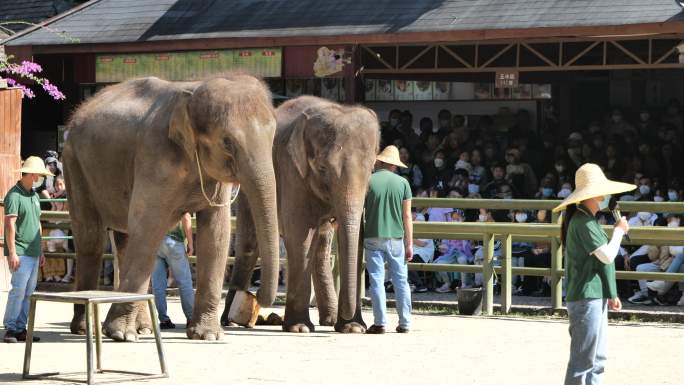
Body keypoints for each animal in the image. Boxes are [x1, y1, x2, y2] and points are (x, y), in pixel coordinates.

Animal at [62, 74, 280, 340]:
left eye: (273, 138)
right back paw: (85, 329)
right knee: (91, 239)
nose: (255, 296)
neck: (192, 93)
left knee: (124, 239)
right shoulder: (155, 158)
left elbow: (216, 234)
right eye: (227, 142)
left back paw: (142, 328)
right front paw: (120, 335)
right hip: (74, 164)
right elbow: (148, 227)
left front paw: (207, 336)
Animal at [224, 94, 382, 332]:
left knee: (322, 245)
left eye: (372, 169)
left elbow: (356, 241)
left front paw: (353, 328)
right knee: (249, 244)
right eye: (323, 169)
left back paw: (327, 320)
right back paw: (229, 321)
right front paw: (299, 328)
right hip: (246, 187)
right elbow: (300, 236)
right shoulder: (291, 169)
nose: (256, 294)